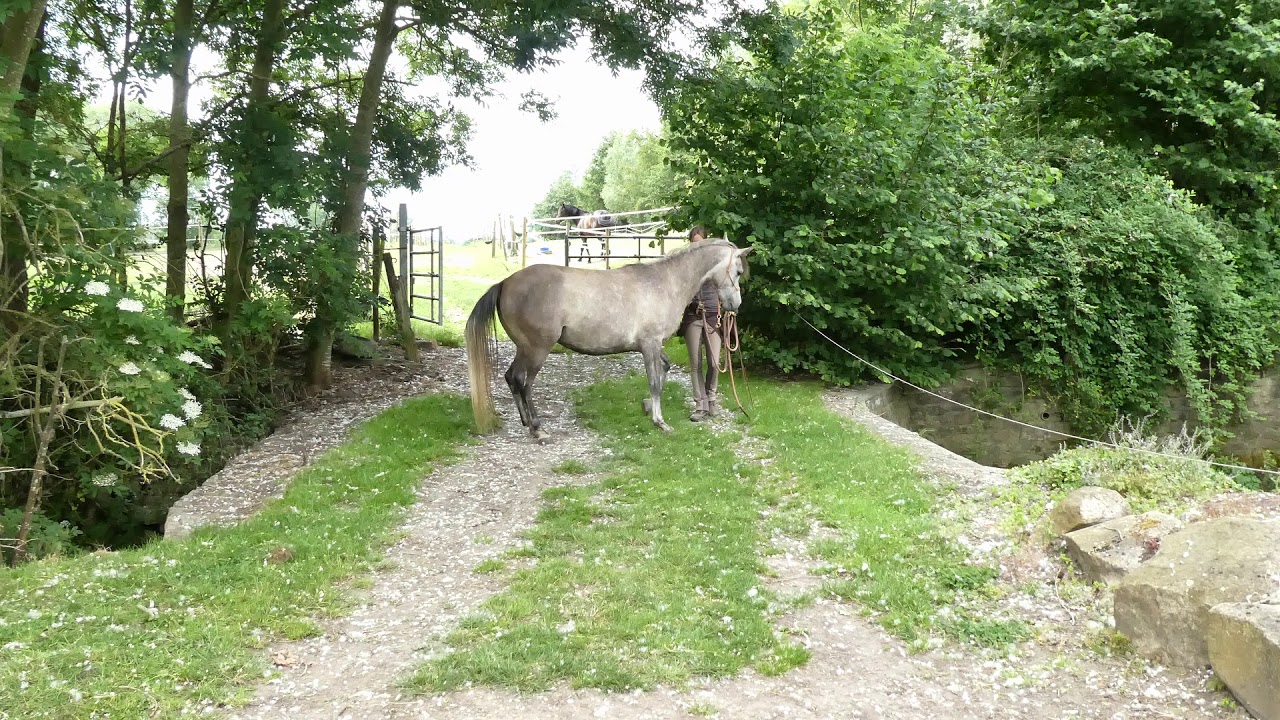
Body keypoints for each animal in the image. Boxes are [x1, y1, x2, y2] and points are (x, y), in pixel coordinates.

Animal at [465, 238, 753, 441]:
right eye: (738, 271)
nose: (736, 305)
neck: (664, 282)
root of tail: (505, 283)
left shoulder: (652, 346)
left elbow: (664, 370)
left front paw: (649, 408)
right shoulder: (649, 344)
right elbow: (654, 383)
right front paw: (660, 422)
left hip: (523, 348)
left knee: (511, 378)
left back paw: (526, 422)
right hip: (537, 349)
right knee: (523, 383)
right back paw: (537, 429)